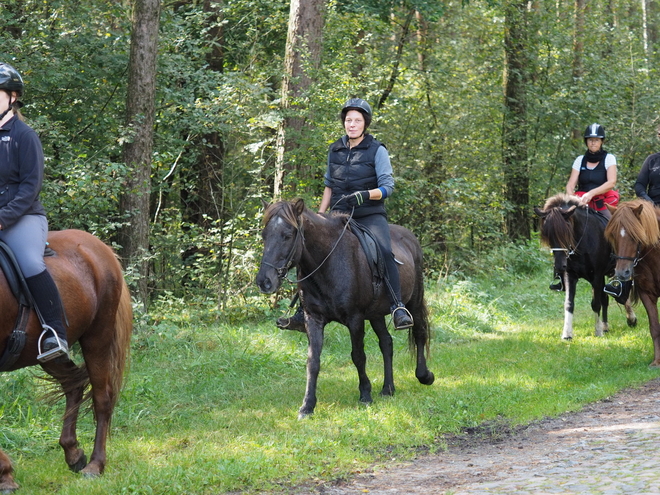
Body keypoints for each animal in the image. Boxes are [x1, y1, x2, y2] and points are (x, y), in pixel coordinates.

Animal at [0, 231, 133, 494]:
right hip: (45, 353)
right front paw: (5, 475)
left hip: (97, 336)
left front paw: (5, 475)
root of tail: (98, 245)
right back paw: (73, 453)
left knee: (102, 398)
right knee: (73, 385)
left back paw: (94, 465)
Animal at [255, 200, 436, 420]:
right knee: (387, 343)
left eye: (287, 235)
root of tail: (410, 237)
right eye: (264, 235)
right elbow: (312, 362)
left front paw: (365, 394)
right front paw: (307, 406)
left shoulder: (354, 318)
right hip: (376, 314)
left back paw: (424, 376)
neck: (328, 261)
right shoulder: (313, 319)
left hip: (414, 301)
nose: (264, 281)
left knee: (419, 333)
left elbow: (358, 356)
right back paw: (388, 388)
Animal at [532, 194, 636, 340]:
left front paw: (597, 331)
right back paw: (606, 326)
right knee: (607, 297)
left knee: (624, 293)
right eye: (547, 233)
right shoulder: (570, 275)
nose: (559, 266)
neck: (583, 242)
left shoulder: (596, 275)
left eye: (567, 230)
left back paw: (631, 318)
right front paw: (567, 334)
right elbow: (569, 303)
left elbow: (596, 303)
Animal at [604, 199, 660, 368]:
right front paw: (656, 361)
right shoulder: (646, 294)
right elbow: (654, 327)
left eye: (636, 235)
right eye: (613, 235)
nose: (622, 273)